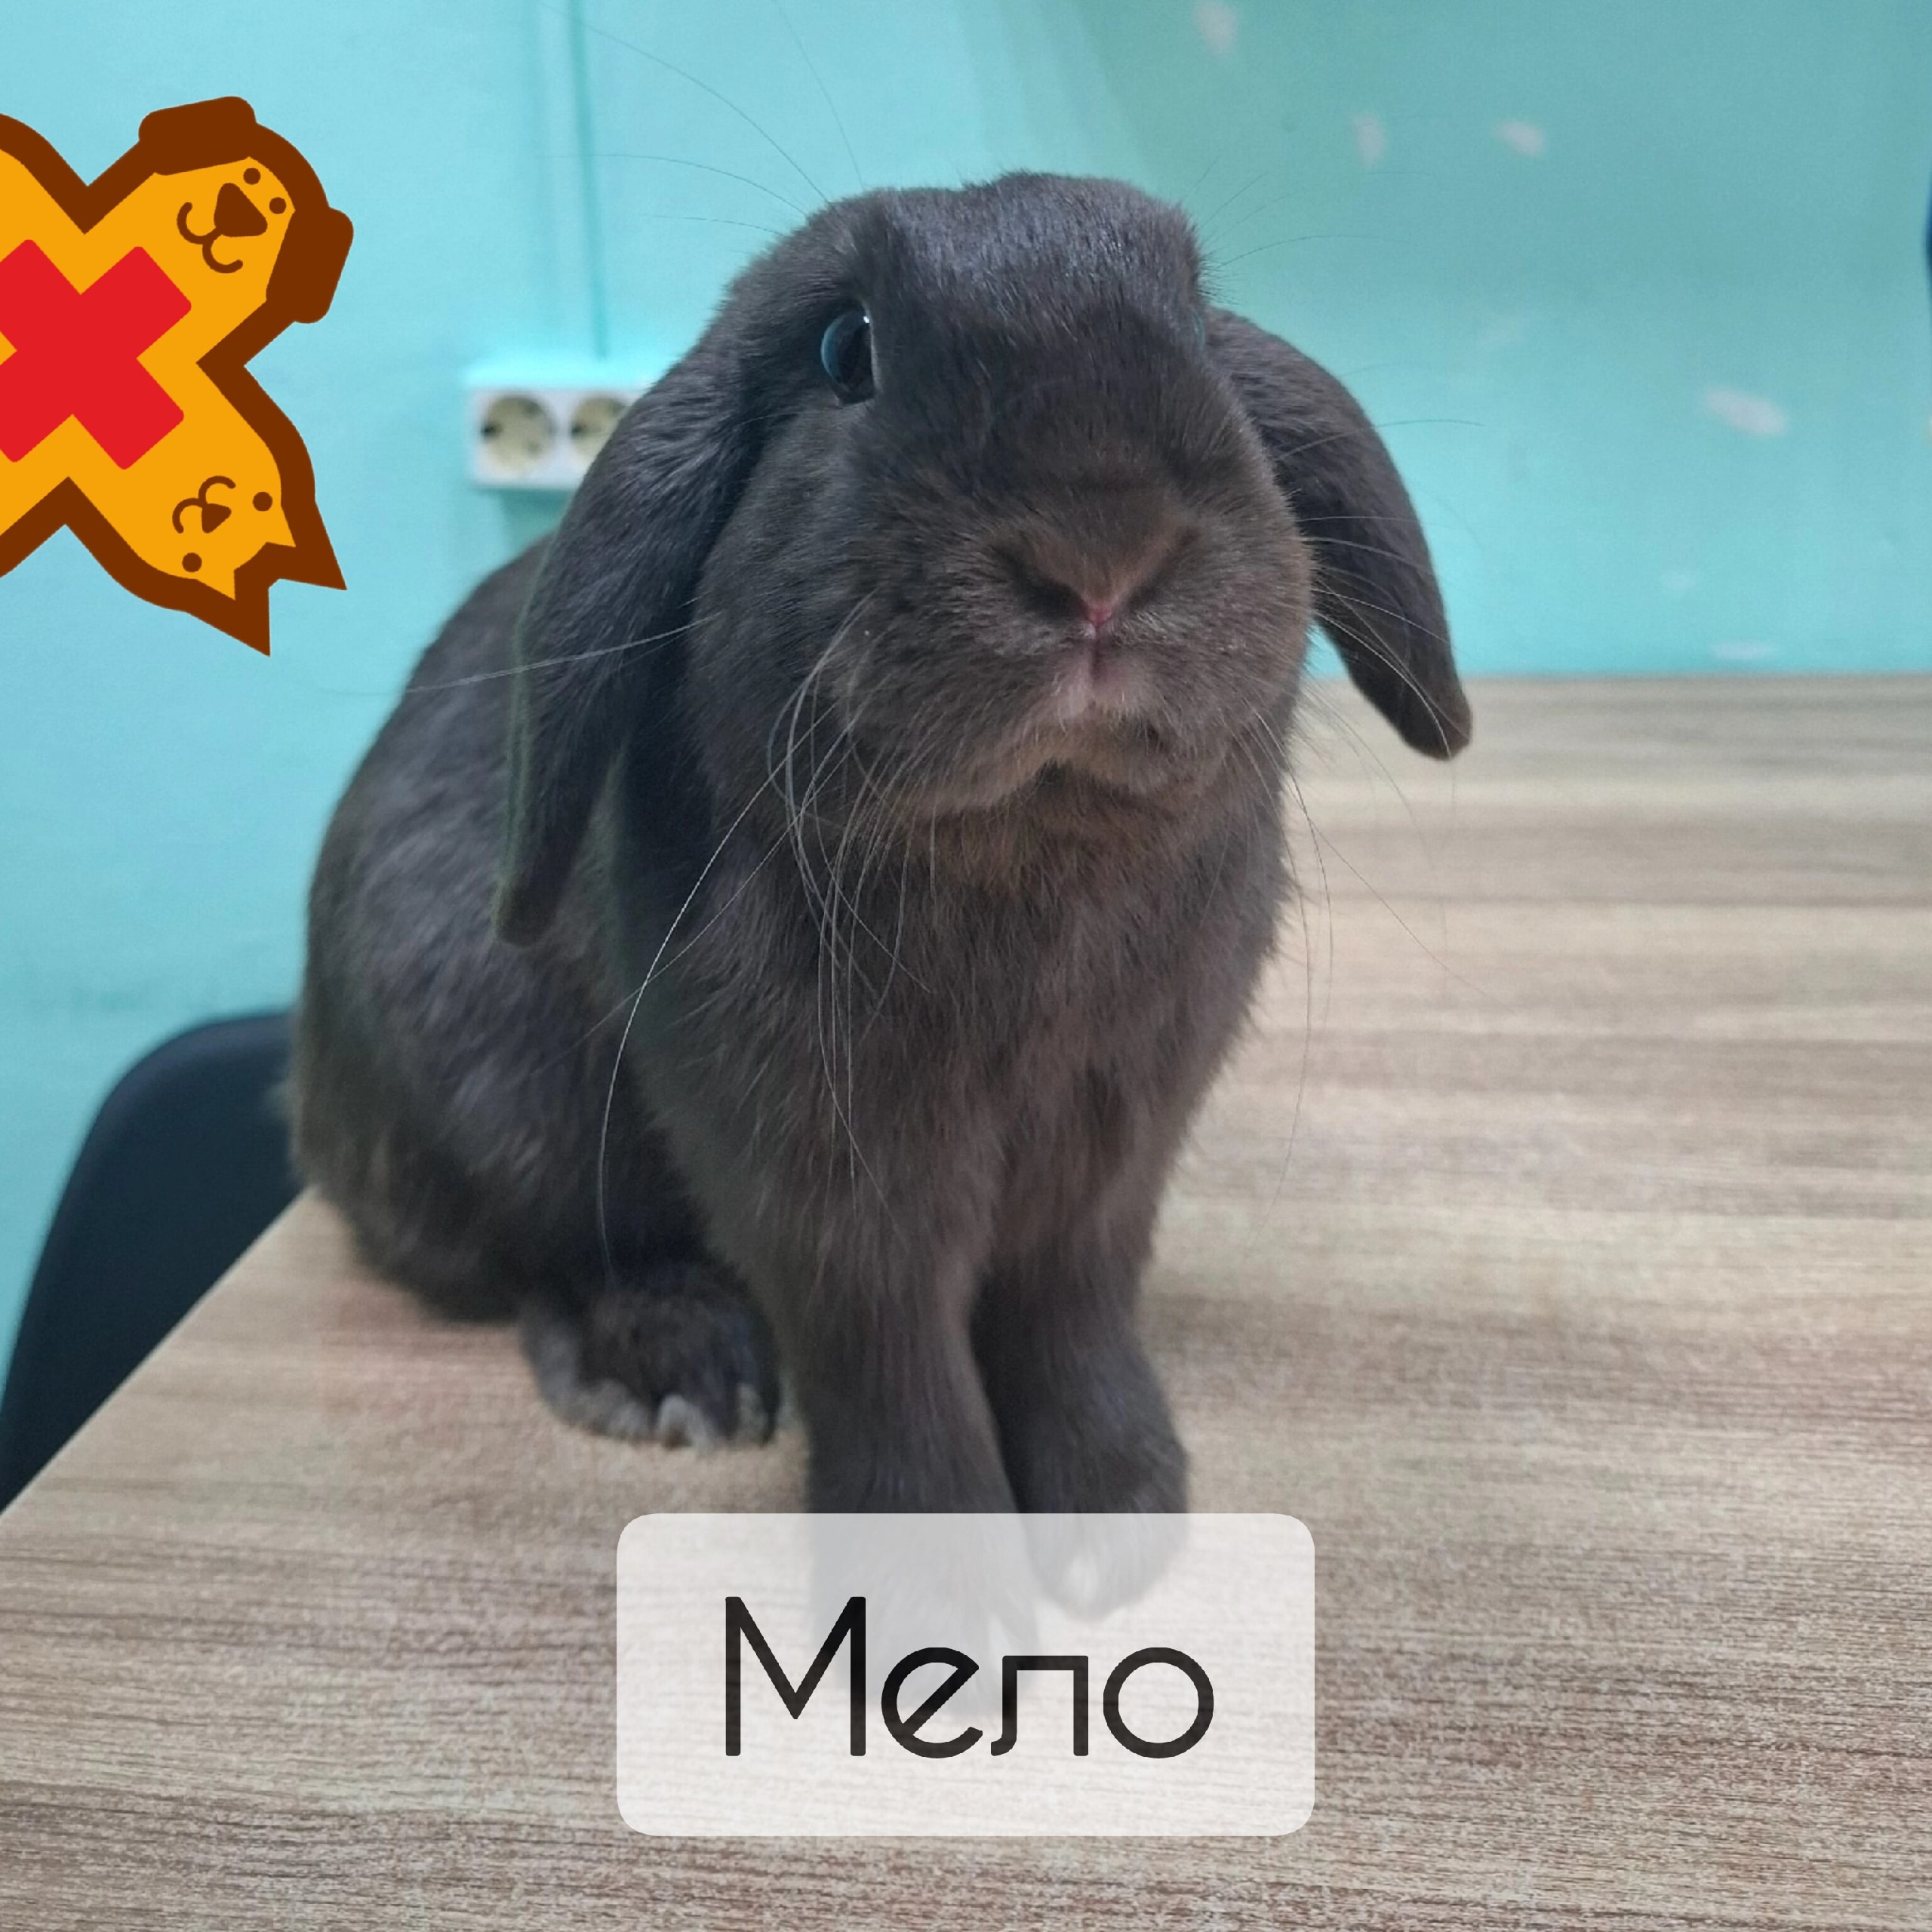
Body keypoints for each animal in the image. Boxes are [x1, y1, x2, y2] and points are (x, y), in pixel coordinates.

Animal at [291, 172, 1468, 1518]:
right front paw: (937, 1541)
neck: (1030, 852)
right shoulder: (817, 1181)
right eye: (844, 350)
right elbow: (887, 1352)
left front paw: (1122, 1506)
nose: (1100, 556)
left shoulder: (1108, 1159)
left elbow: (1069, 1317)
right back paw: (678, 1370)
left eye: (1200, 330)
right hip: (500, 1099)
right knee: (554, 1258)